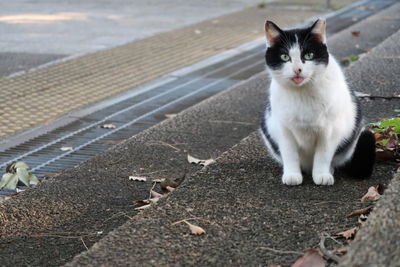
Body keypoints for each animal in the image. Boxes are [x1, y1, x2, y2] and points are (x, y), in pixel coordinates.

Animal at [260, 18, 376, 186]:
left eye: (309, 55)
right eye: (284, 57)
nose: (297, 69)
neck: (302, 93)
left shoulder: (331, 130)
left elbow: (323, 155)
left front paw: (322, 175)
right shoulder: (283, 129)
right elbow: (289, 153)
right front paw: (292, 175)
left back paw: (329, 170)